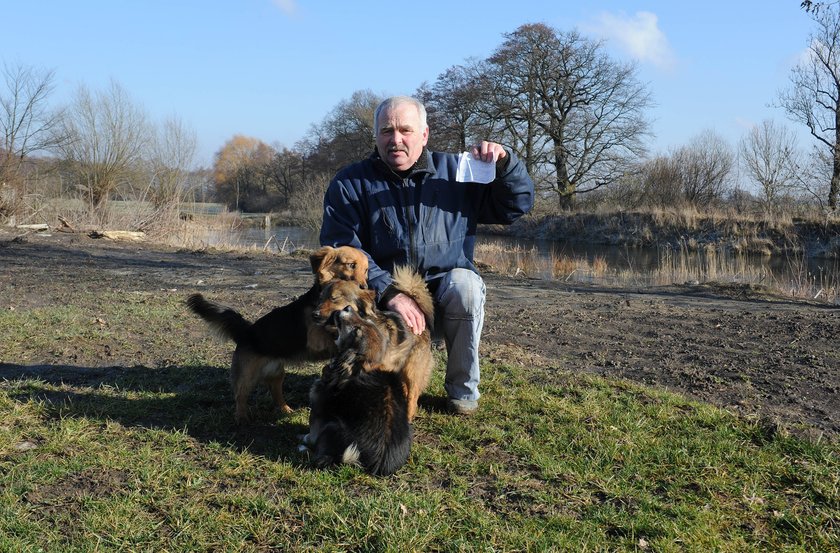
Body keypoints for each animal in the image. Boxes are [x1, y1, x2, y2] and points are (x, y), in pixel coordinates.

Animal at [185, 246, 370, 422]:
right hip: (247, 376)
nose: (365, 288)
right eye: (351, 265)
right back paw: (242, 417)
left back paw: (285, 409)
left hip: (277, 373)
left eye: (366, 269)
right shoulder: (316, 338)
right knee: (240, 396)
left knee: (275, 392)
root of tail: (247, 331)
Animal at [308, 306, 414, 474]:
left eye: (357, 330)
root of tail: (375, 463)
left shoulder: (319, 406)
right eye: (366, 320)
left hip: (333, 427)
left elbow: (312, 432)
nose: (348, 308)